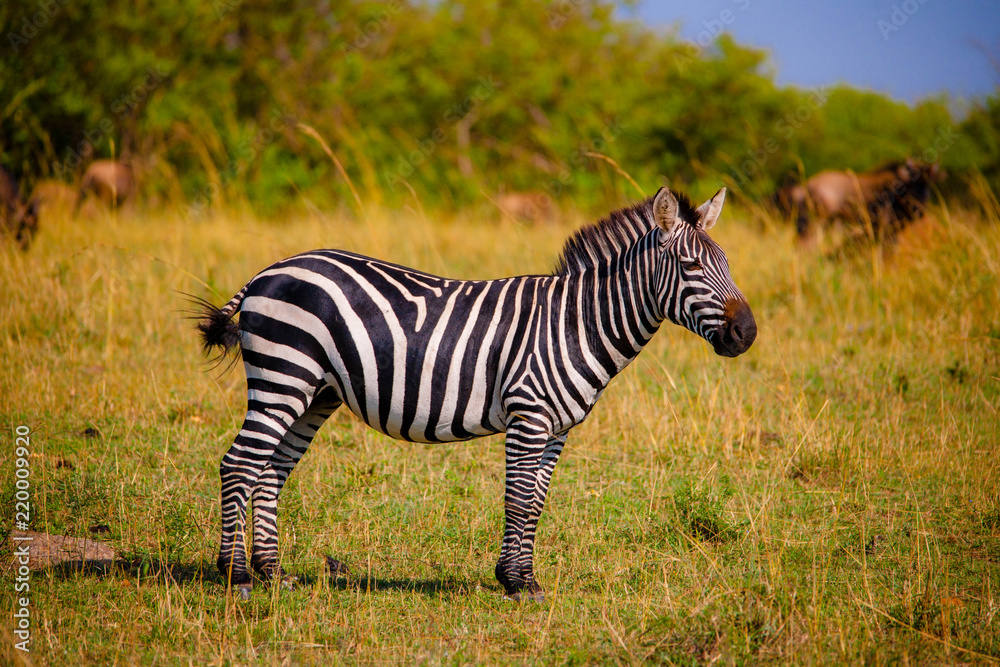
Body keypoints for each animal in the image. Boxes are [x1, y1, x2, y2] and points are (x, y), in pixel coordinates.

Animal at [195, 186, 756, 601]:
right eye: (690, 268)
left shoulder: (558, 430)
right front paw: (515, 583)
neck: (577, 323)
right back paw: (236, 577)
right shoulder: (529, 416)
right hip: (283, 376)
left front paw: (524, 579)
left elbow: (537, 502)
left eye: (728, 263)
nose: (746, 334)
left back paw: (273, 574)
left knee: (271, 471)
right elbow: (520, 499)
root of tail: (271, 270)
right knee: (239, 464)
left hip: (316, 393)